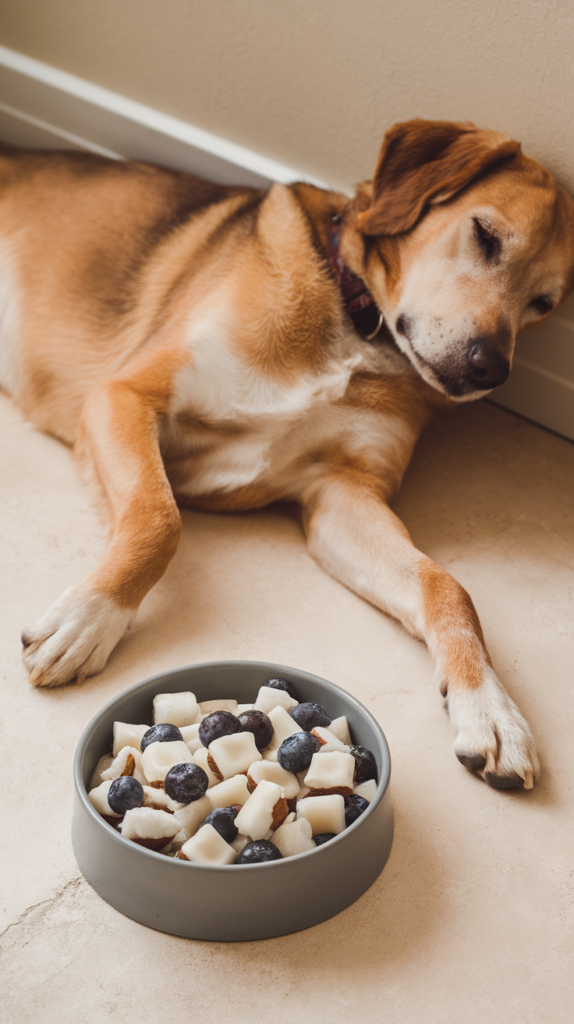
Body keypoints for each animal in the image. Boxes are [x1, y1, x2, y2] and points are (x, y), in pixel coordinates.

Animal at [1, 119, 572, 790]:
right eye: (485, 235)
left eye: (544, 303)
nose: (491, 369)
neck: (358, 327)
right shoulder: (124, 396)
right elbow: (158, 518)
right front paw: (88, 620)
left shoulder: (340, 495)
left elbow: (445, 585)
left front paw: (490, 707)